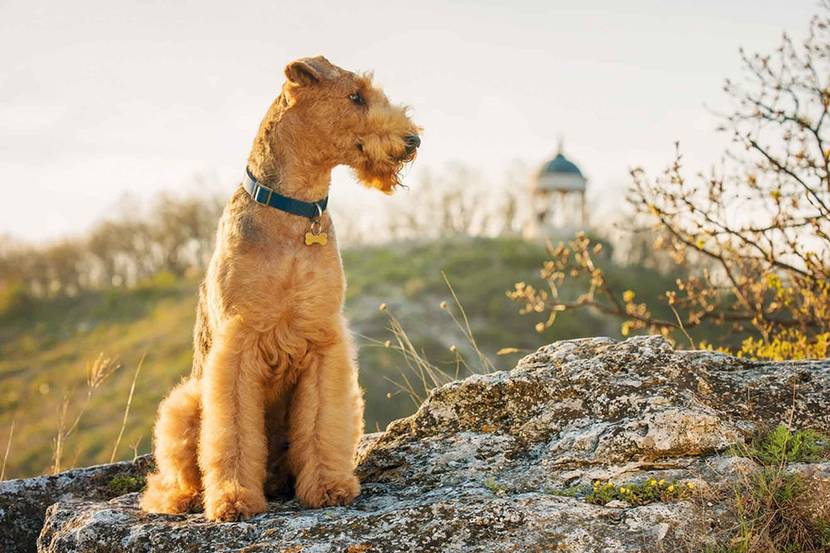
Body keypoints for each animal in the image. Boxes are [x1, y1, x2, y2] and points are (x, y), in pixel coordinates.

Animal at [141, 54, 422, 520]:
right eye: (355, 96)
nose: (413, 139)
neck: (296, 213)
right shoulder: (238, 344)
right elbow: (233, 432)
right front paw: (234, 500)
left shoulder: (323, 340)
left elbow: (321, 425)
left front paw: (328, 487)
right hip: (184, 403)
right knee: (174, 474)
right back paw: (183, 498)